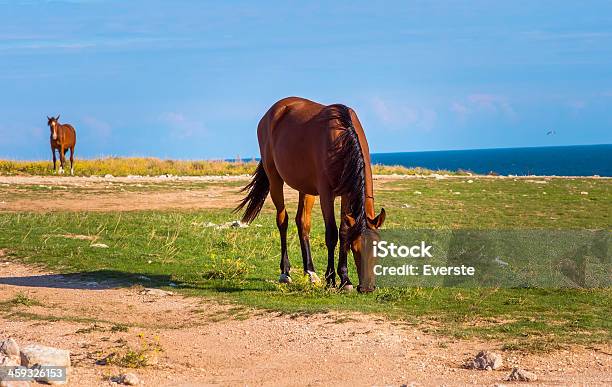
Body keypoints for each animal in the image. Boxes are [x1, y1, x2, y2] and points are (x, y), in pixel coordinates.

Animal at [237, 96, 384, 292]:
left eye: (378, 249)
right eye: (356, 248)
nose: (367, 288)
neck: (341, 138)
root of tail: (272, 112)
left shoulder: (346, 194)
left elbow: (344, 231)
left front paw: (345, 279)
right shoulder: (326, 194)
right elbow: (332, 234)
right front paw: (331, 279)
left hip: (305, 188)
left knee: (302, 223)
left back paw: (311, 273)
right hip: (275, 179)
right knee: (282, 221)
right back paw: (285, 272)